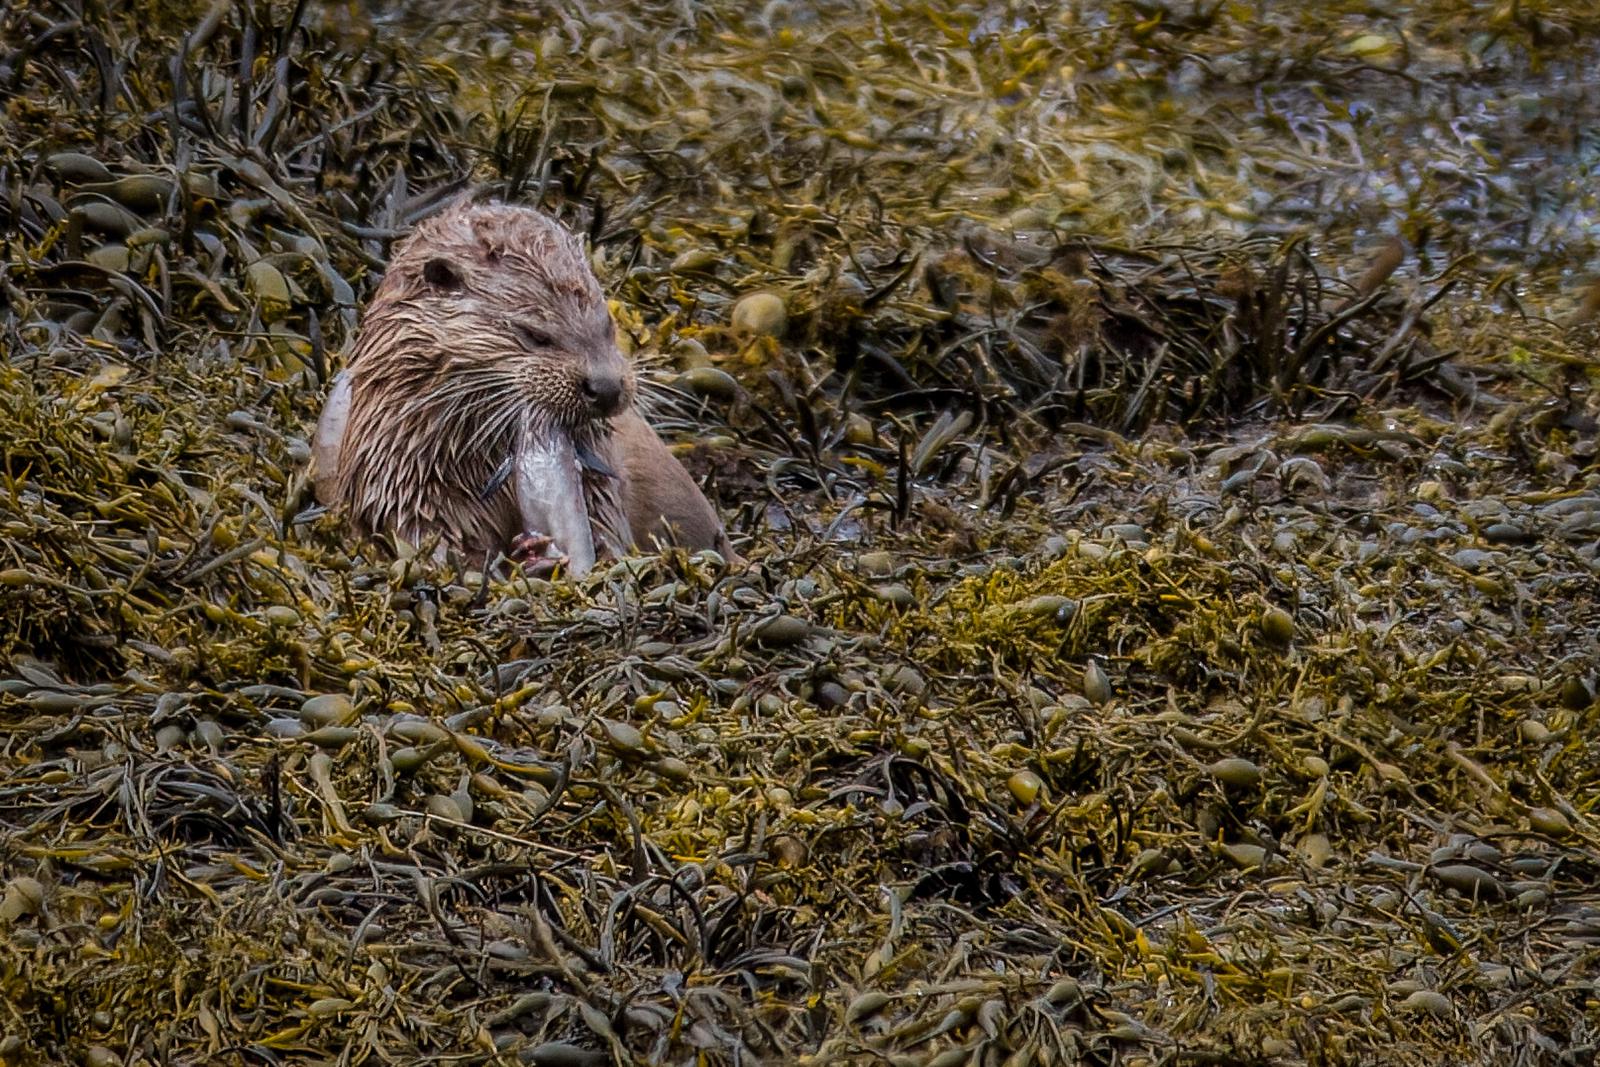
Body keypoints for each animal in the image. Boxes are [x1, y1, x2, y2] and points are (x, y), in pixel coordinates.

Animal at [310, 200, 734, 575]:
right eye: (535, 334)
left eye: (607, 325)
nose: (606, 387)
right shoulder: (400, 488)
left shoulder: (602, 483)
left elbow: (608, 532)